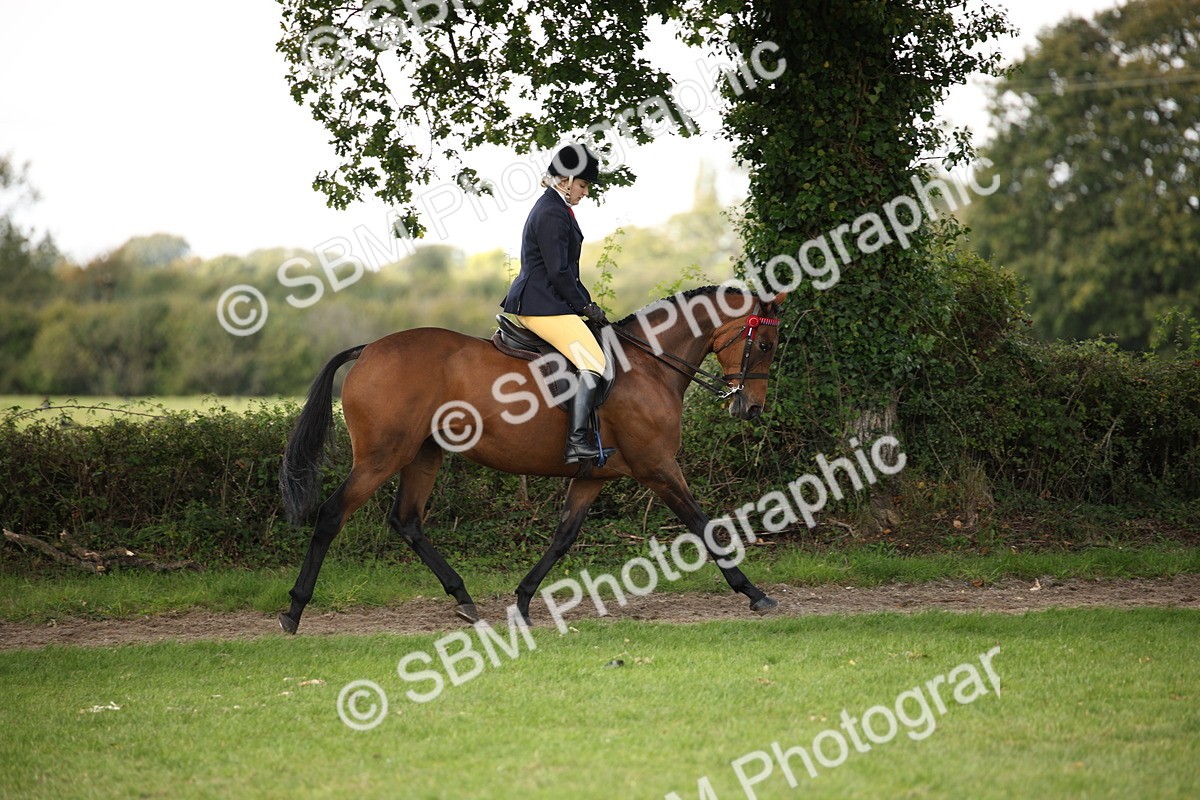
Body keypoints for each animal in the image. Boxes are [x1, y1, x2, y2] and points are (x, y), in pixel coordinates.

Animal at [277, 284, 786, 633]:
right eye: (764, 345)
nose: (751, 408)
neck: (648, 366)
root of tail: (367, 350)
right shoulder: (658, 468)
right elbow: (704, 526)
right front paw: (754, 593)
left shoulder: (593, 476)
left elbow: (563, 536)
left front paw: (522, 601)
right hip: (382, 457)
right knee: (332, 515)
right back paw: (294, 609)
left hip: (423, 455)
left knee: (407, 521)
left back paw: (464, 599)